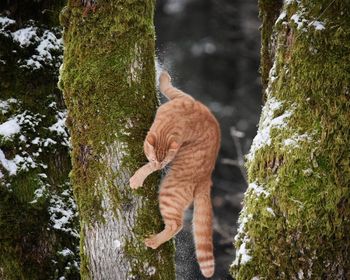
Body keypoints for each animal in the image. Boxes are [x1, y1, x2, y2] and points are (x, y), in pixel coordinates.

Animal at [130, 70, 220, 278]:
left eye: (162, 163)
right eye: (156, 159)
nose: (159, 165)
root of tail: (207, 178)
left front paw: (137, 178)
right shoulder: (184, 98)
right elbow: (169, 88)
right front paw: (163, 77)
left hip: (169, 194)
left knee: (176, 225)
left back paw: (153, 241)